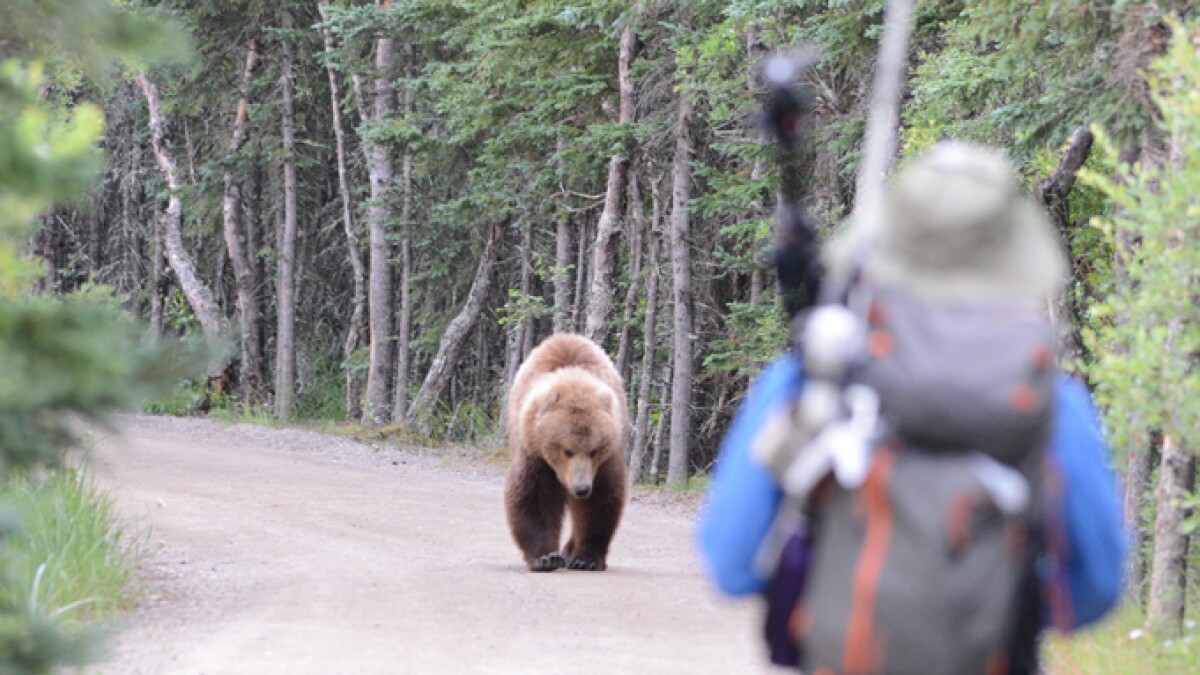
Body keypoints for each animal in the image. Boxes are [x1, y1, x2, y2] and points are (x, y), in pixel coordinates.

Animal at [504, 333, 629, 572]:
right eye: (567, 450)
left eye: (594, 450)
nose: (581, 489)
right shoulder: (534, 453)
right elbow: (534, 496)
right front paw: (545, 558)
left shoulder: (605, 462)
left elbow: (599, 500)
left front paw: (586, 559)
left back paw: (570, 550)